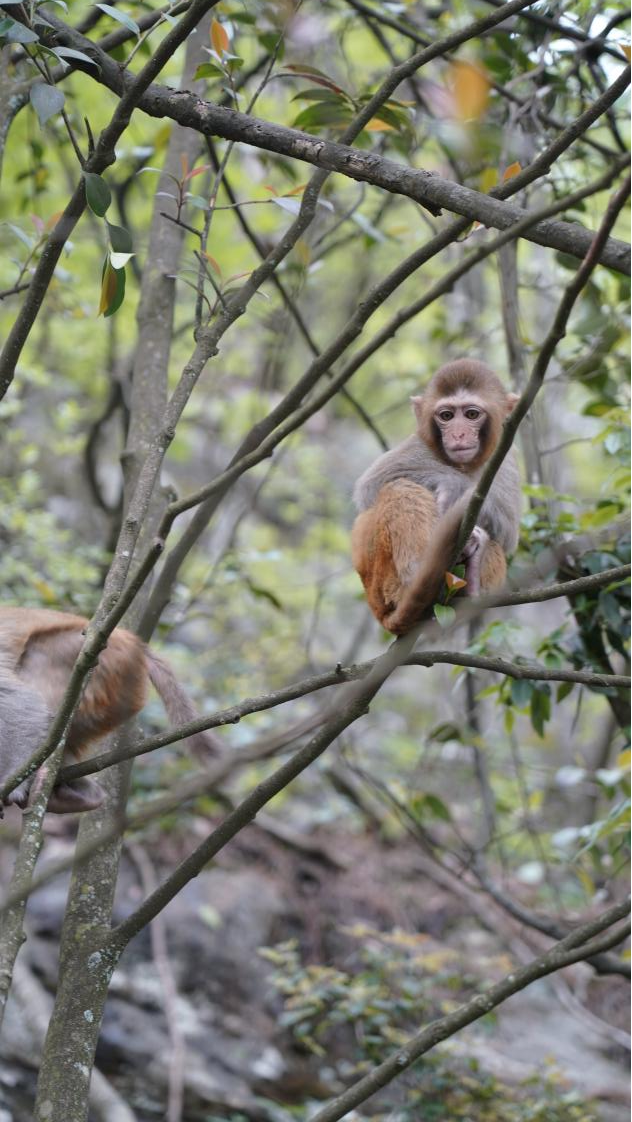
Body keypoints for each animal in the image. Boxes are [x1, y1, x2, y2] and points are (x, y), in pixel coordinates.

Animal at [0, 605, 222, 816]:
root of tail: (132, 641)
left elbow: (22, 701)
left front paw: (16, 785)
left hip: (98, 661)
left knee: (38, 661)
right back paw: (80, 794)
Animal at [350, 361, 525, 637]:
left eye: (472, 415)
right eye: (446, 416)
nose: (459, 435)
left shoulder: (506, 458)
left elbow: (507, 532)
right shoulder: (418, 445)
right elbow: (372, 483)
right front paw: (454, 484)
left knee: (494, 542)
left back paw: (471, 579)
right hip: (381, 579)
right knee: (398, 489)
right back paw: (417, 575)